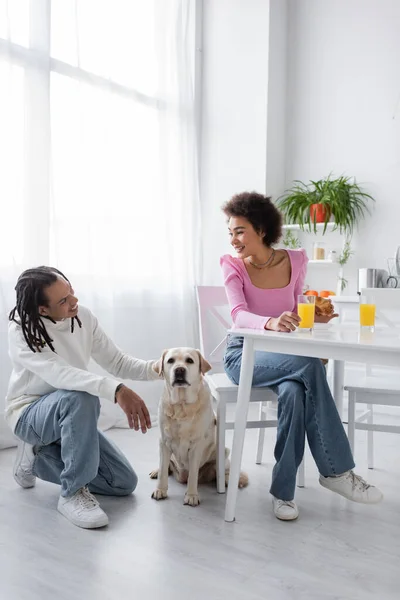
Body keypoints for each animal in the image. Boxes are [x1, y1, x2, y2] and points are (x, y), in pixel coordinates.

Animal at [151, 346, 247, 506]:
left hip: (223, 451)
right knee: (165, 465)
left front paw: (191, 495)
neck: (181, 405)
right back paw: (156, 471)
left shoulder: (196, 445)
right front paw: (160, 490)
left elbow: (193, 475)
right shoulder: (163, 442)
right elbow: (164, 471)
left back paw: (227, 480)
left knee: (221, 471)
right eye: (170, 361)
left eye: (189, 360)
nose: (179, 370)